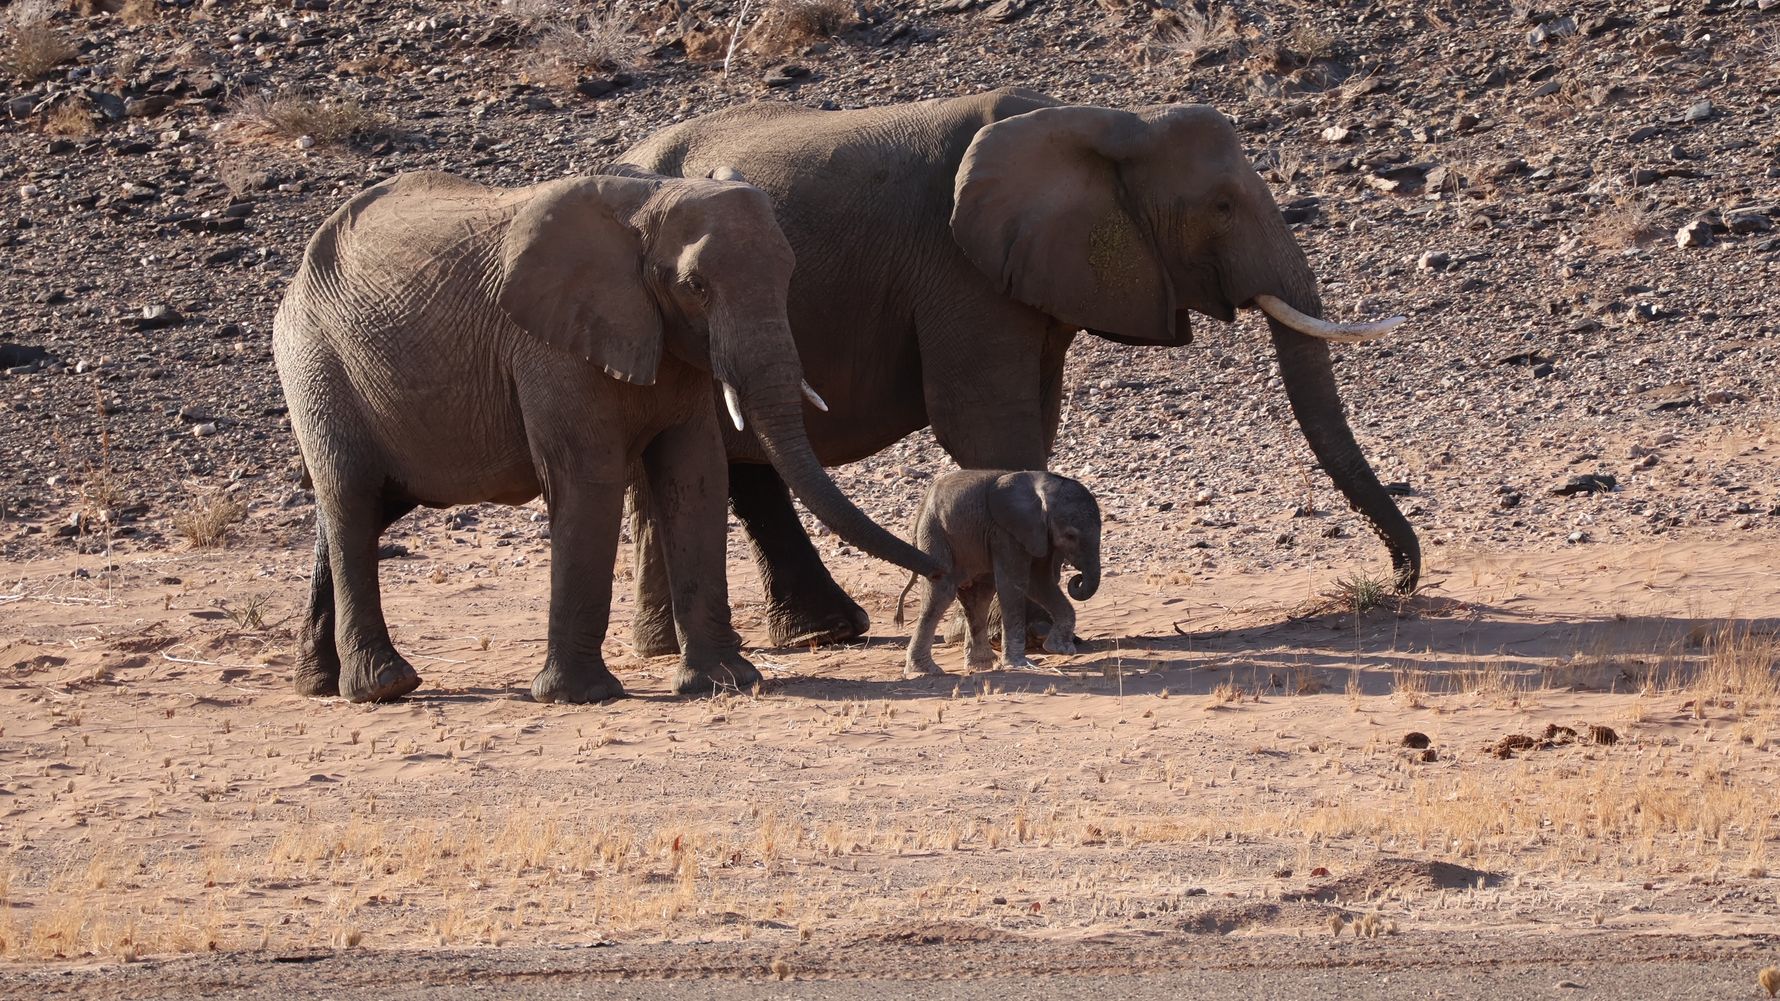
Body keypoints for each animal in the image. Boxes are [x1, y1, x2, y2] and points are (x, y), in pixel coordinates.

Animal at [272, 168, 943, 704]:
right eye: (695, 287)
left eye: (788, 274)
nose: (937, 573)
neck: (646, 206)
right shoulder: (550, 344)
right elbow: (588, 476)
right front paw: (582, 696)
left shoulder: (672, 346)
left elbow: (695, 473)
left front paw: (727, 683)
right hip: (315, 362)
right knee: (352, 499)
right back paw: (384, 687)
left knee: (362, 509)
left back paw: (318, 684)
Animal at [617, 87, 1417, 655]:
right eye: (1221, 205)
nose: (1400, 582)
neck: (1104, 121)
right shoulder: (956, 266)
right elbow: (984, 418)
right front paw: (1033, 631)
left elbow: (1038, 407)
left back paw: (777, 637)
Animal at [894, 469, 1101, 678]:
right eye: (1070, 536)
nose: (1078, 578)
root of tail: (920, 509)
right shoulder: (1006, 531)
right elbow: (1015, 583)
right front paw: (1020, 664)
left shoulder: (1039, 534)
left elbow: (1040, 582)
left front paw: (1060, 649)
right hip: (934, 534)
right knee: (941, 593)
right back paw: (925, 670)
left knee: (978, 596)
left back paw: (982, 665)